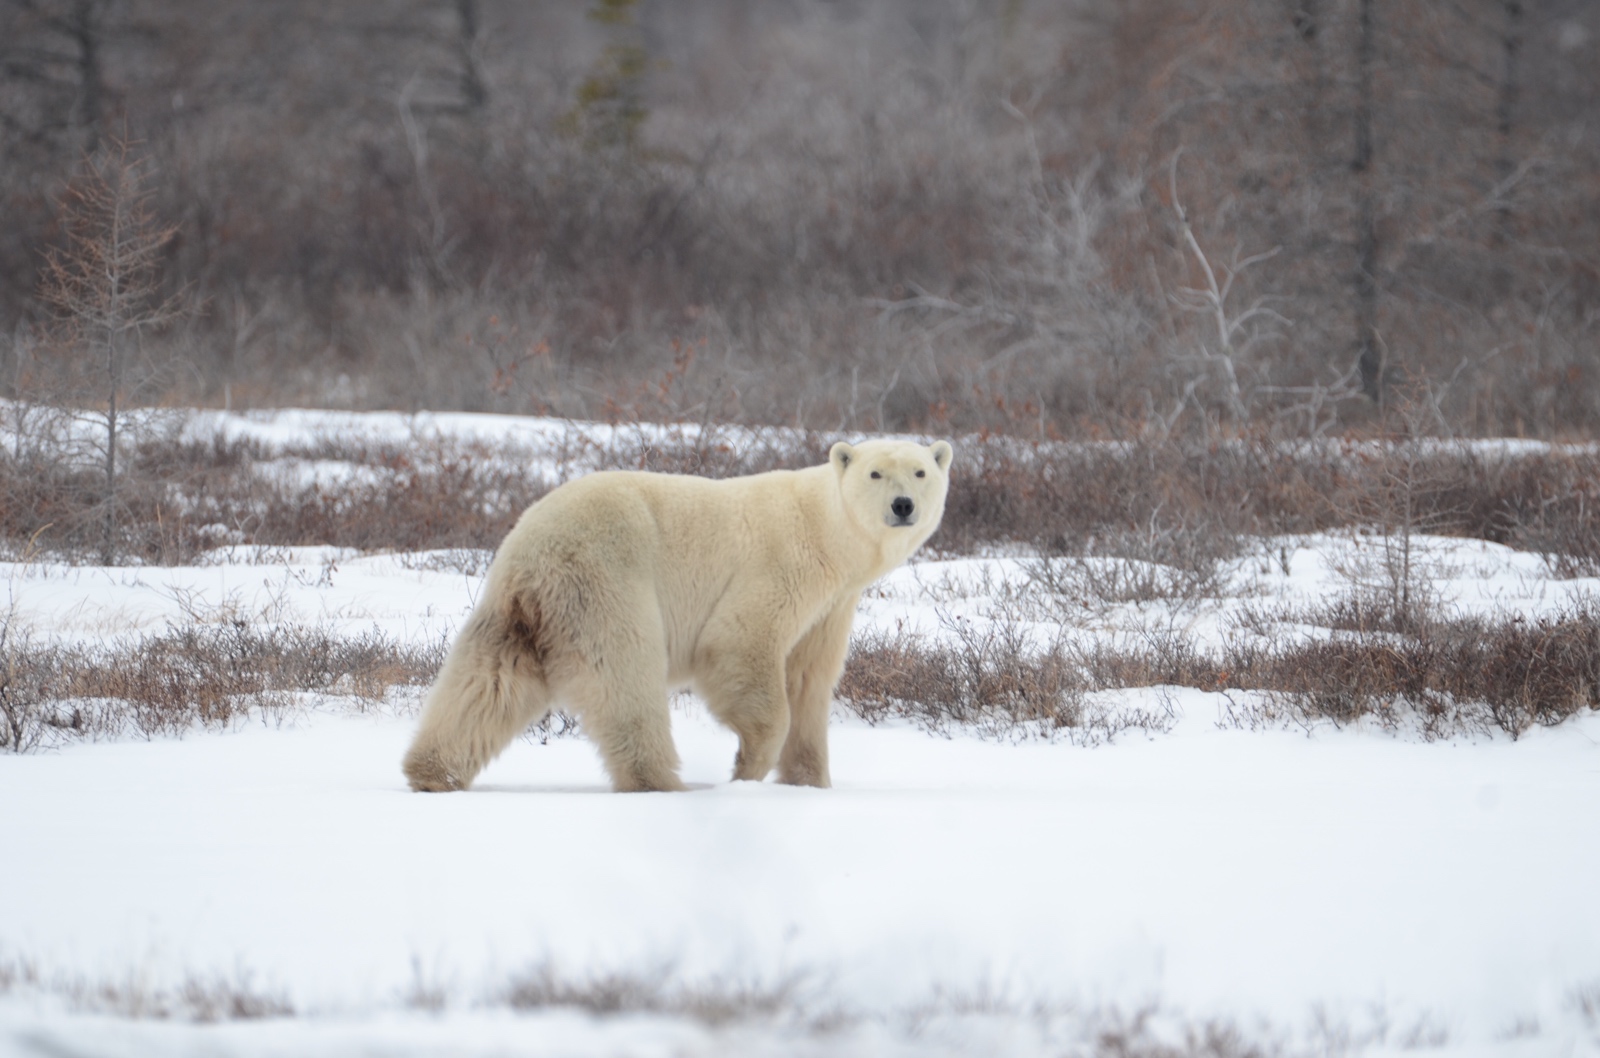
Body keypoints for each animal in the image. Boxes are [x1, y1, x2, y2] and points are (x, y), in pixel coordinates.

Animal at [402, 438, 954, 793]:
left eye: (921, 471)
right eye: (875, 473)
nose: (902, 505)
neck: (827, 533)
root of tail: (529, 549)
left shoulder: (831, 606)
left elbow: (809, 681)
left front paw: (809, 782)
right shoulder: (780, 567)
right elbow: (739, 644)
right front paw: (747, 770)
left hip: (516, 612)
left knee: (485, 683)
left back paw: (432, 772)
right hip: (607, 581)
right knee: (627, 679)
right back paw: (662, 781)